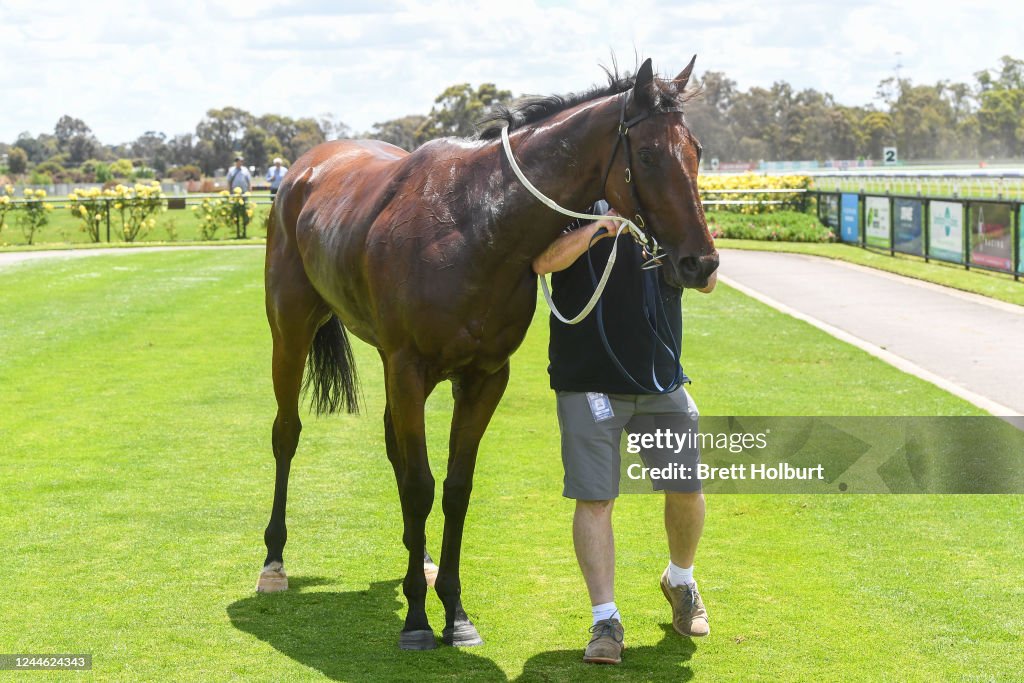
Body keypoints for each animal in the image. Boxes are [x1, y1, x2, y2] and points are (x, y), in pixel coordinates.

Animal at [256, 56, 720, 651]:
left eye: (697, 150)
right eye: (647, 155)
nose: (700, 263)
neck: (472, 225)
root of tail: (304, 171)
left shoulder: (483, 377)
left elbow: (454, 487)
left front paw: (453, 611)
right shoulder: (408, 369)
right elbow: (421, 484)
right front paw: (416, 619)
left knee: (394, 449)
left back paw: (418, 558)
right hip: (291, 331)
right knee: (287, 433)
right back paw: (274, 561)